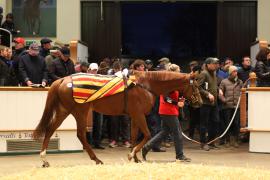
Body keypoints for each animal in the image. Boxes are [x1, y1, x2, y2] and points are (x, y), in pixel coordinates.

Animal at [32, 71, 201, 167]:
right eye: (195, 86)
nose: (199, 101)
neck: (145, 85)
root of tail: (63, 80)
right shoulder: (139, 114)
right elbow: (147, 135)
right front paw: (132, 155)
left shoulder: (134, 116)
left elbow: (134, 136)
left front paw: (135, 157)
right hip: (80, 111)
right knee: (80, 135)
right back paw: (96, 159)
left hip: (64, 111)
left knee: (50, 129)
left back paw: (44, 159)